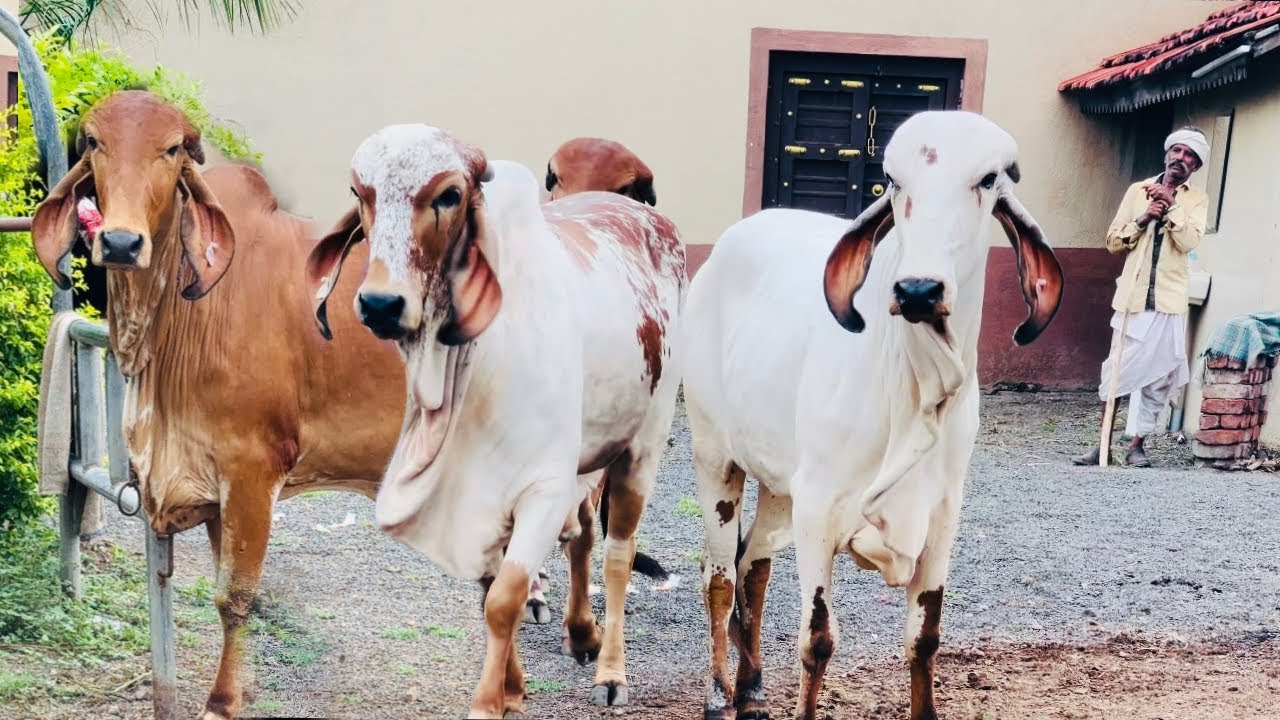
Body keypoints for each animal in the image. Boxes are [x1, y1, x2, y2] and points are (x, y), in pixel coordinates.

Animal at [30, 90, 409, 720]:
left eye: (172, 149)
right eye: (94, 142)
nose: (121, 243)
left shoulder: (252, 470)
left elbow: (235, 596)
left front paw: (223, 701)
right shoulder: (210, 481)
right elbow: (221, 581)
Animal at [305, 123, 686, 717]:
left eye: (450, 194)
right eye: (358, 192)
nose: (381, 304)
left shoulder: (543, 488)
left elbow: (504, 597)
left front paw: (489, 701)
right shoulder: (479, 496)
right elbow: (490, 588)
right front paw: (512, 686)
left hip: (643, 445)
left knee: (617, 556)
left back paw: (610, 670)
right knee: (583, 536)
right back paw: (582, 632)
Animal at [678, 111, 1063, 719]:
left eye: (988, 180)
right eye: (895, 182)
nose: (919, 290)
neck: (914, 396)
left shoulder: (940, 520)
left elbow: (924, 639)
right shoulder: (817, 513)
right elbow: (817, 641)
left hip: (779, 484)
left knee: (753, 568)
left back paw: (753, 688)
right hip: (715, 456)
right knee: (719, 577)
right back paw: (719, 694)